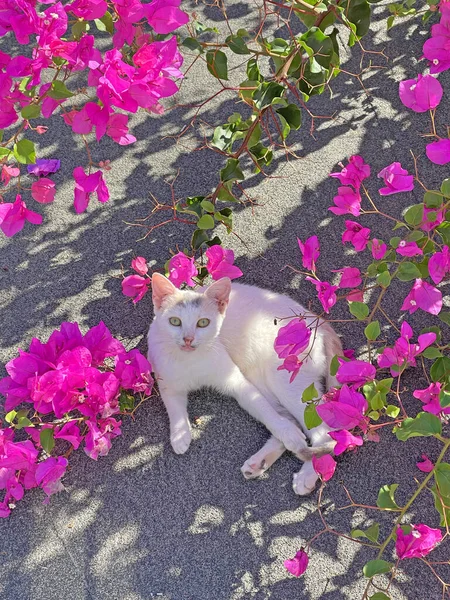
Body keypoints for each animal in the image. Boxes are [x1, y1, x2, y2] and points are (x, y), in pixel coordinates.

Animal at [148, 274, 342, 494]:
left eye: (203, 323)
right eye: (174, 321)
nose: (188, 339)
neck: (191, 360)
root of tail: (318, 321)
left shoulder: (236, 381)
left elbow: (263, 409)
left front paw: (288, 435)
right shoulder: (166, 380)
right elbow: (174, 406)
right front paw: (180, 436)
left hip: (284, 379)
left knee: (322, 433)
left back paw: (307, 474)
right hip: (261, 377)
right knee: (290, 419)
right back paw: (263, 460)